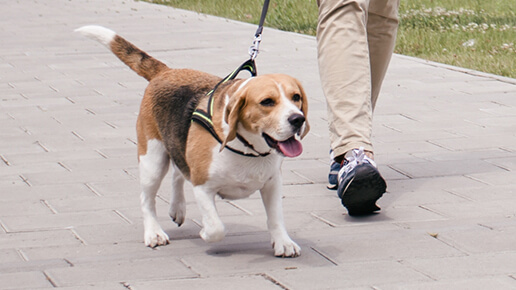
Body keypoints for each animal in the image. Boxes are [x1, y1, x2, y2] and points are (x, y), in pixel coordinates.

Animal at [77, 24, 306, 256]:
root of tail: (166, 71)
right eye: (267, 102)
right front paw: (205, 233)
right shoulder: (202, 186)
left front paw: (283, 242)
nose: (298, 119)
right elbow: (216, 228)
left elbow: (275, 218)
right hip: (152, 161)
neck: (246, 147)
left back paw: (177, 208)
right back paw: (153, 233)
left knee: (178, 172)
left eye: (296, 97)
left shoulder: (272, 183)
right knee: (147, 199)